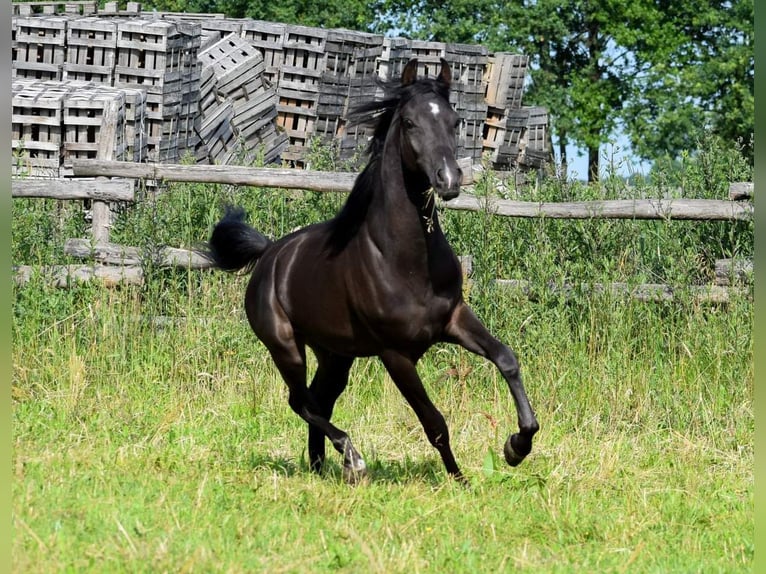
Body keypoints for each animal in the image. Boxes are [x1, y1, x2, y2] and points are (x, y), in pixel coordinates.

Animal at [203, 58, 538, 482]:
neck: (406, 262)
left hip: (335, 354)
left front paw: (516, 446)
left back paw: (323, 466)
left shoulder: (454, 319)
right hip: (285, 346)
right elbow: (434, 422)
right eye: (409, 122)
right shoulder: (396, 354)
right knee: (300, 401)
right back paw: (352, 457)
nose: (448, 180)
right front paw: (459, 479)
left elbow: (507, 359)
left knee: (320, 400)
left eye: (454, 120)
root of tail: (269, 254)